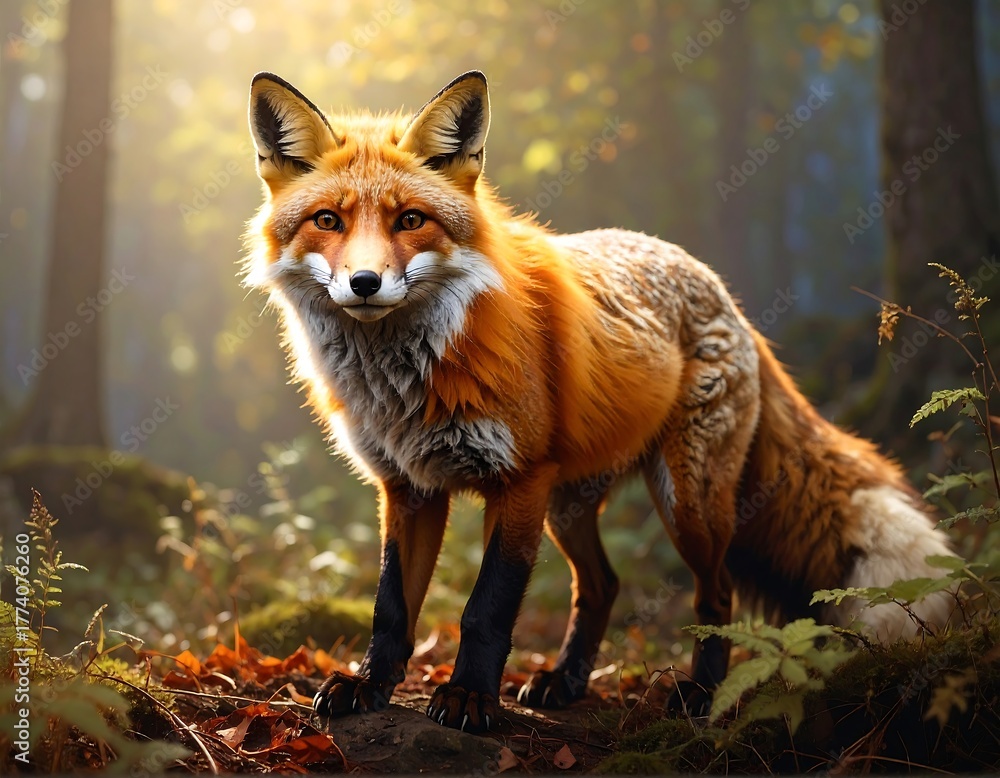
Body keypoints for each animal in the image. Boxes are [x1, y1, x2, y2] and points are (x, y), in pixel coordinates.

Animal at [243, 70, 954, 731]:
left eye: (410, 220)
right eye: (329, 220)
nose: (364, 283)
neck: (405, 380)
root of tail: (724, 293)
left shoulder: (519, 478)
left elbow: (487, 609)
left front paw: (470, 697)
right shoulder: (408, 486)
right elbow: (391, 606)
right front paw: (369, 686)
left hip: (686, 502)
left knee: (716, 593)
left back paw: (701, 694)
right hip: (572, 504)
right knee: (603, 585)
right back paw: (566, 681)